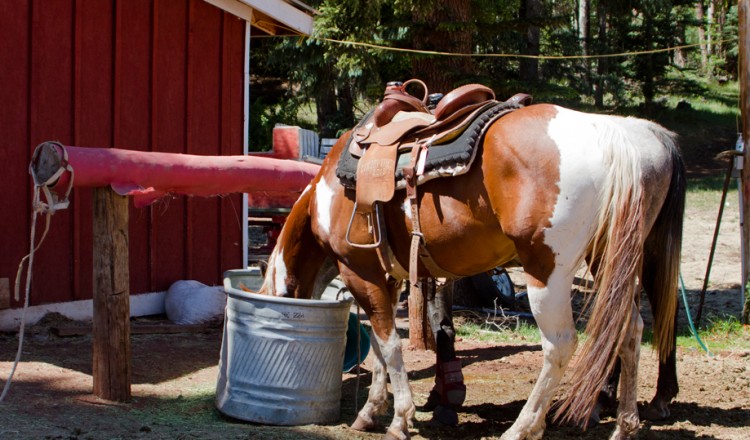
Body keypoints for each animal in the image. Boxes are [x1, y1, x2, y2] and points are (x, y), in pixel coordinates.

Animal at [258, 101, 688, 438]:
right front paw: (371, 411)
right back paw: (625, 424)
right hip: (608, 261)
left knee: (561, 344)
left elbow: (390, 345)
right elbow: (379, 346)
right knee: (629, 330)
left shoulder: (360, 272)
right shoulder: (386, 279)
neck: (327, 192)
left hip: (546, 271)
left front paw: (399, 418)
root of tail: (615, 137)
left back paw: (524, 427)